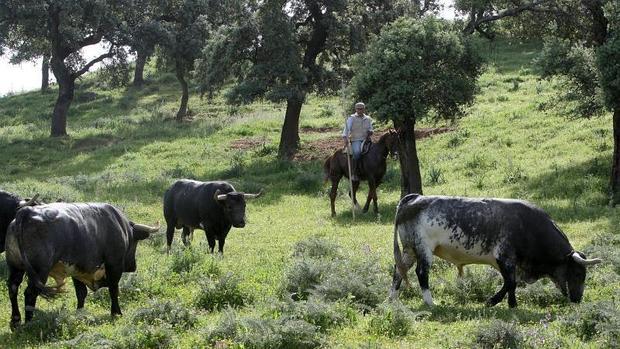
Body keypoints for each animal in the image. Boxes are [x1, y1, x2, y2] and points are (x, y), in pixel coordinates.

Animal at [4, 201, 159, 326]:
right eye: (135, 242)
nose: (133, 266)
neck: (121, 226)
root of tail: (26, 212)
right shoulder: (114, 265)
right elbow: (114, 289)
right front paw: (116, 313)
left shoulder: (77, 269)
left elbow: (81, 293)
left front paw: (80, 314)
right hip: (40, 271)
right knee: (30, 293)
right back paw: (29, 323)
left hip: (16, 267)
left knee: (13, 288)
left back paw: (15, 321)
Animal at [392, 193, 600, 308]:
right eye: (578, 273)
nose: (578, 299)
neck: (528, 226)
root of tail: (414, 198)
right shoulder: (504, 257)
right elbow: (510, 282)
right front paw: (492, 301)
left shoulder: (509, 262)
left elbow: (511, 283)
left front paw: (512, 304)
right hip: (424, 249)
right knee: (421, 273)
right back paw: (430, 302)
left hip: (409, 250)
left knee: (398, 272)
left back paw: (391, 299)